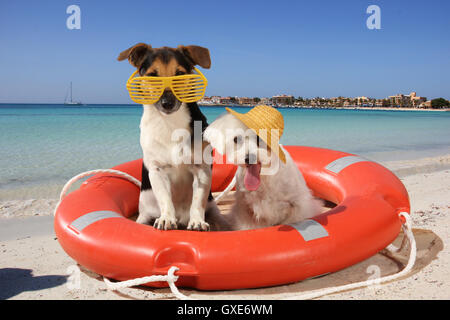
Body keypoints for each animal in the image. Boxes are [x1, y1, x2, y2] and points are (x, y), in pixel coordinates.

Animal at [118, 43, 227, 231]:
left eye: (180, 74)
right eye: (152, 76)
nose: (167, 103)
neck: (170, 124)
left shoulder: (202, 170)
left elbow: (197, 201)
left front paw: (197, 220)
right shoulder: (157, 170)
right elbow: (165, 199)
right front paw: (166, 218)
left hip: (216, 213)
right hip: (143, 217)